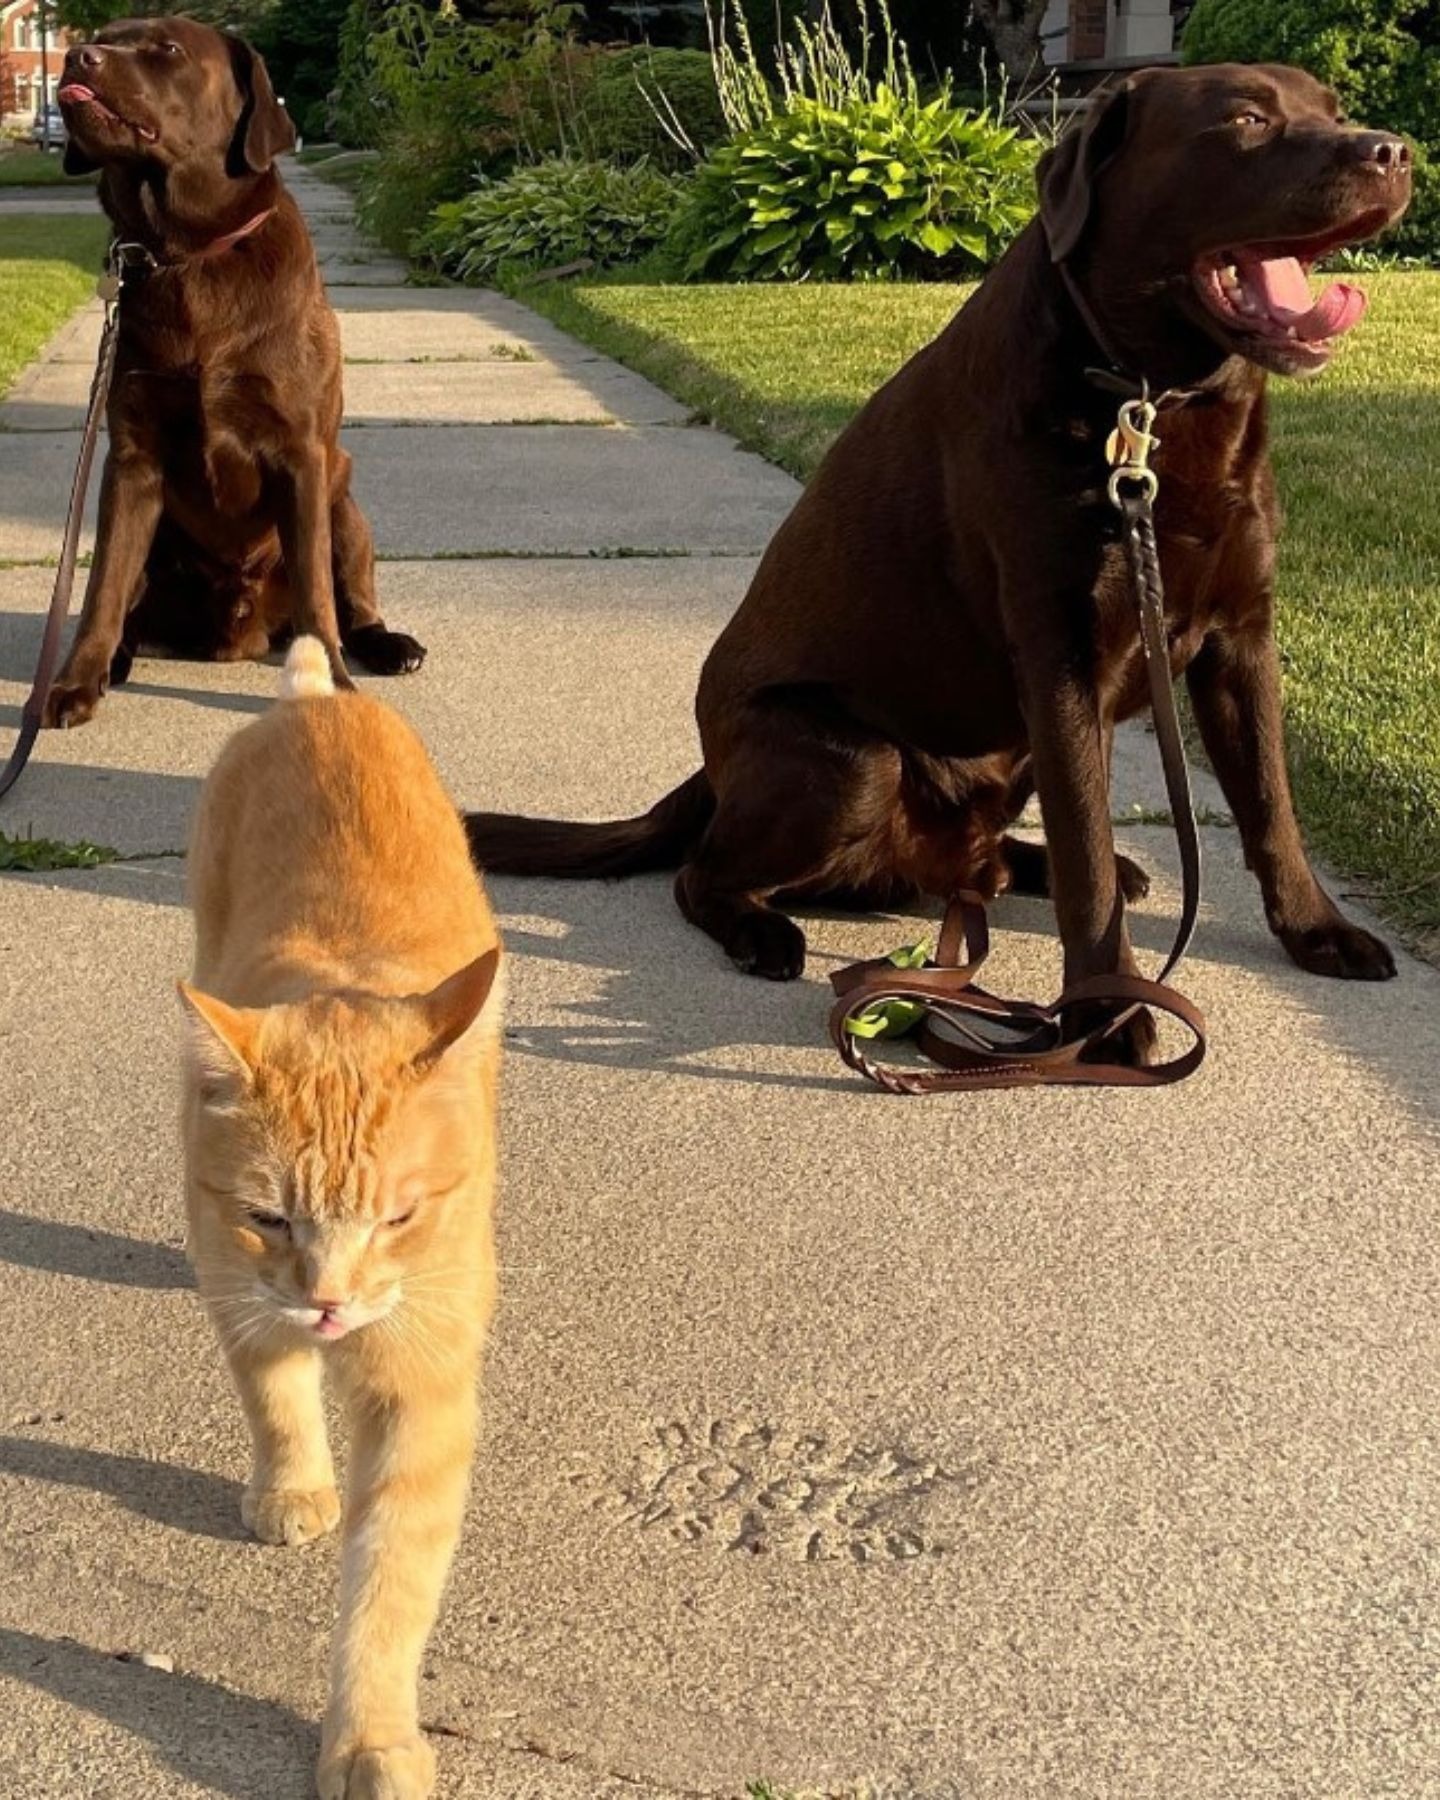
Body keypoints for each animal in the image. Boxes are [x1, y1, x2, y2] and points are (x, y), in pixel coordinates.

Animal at [180, 637, 500, 1800]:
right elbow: (276, 1402)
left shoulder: (421, 1393)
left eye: (399, 1217)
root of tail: (317, 700)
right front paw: (293, 1484)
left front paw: (367, 1735)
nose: (326, 1304)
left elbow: (388, 1585)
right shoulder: (237, 1288)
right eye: (270, 1218)